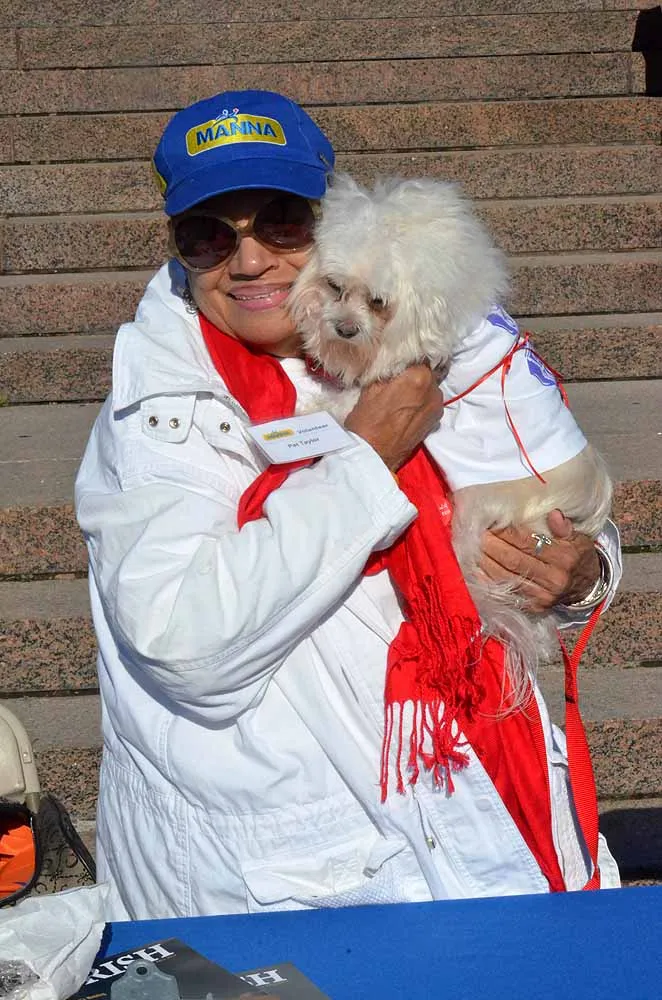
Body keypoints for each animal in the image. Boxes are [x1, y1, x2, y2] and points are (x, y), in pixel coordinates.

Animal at [288, 173, 612, 699]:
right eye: (336, 287)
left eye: (377, 302)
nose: (344, 328)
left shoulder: (405, 368)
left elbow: (352, 400)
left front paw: (315, 406)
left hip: (475, 514)